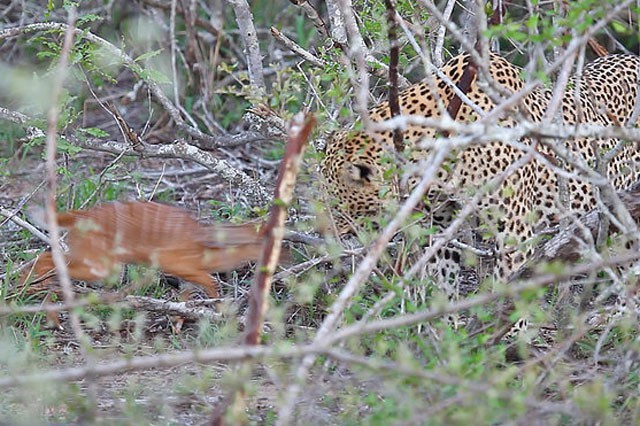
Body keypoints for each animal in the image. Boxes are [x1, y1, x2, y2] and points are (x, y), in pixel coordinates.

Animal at [322, 51, 640, 334]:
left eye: (337, 205)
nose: (325, 236)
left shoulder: (514, 227)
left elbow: (509, 286)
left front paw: (508, 339)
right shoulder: (441, 223)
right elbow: (443, 279)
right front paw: (447, 334)